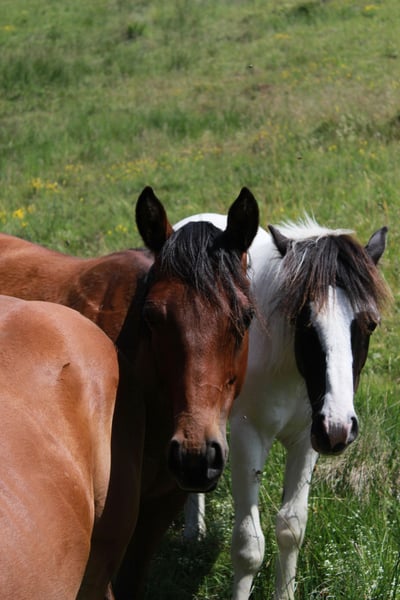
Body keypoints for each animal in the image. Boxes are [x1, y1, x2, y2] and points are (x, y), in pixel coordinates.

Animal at [176, 212, 391, 600]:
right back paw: (191, 531)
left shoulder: (308, 439)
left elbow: (291, 528)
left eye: (370, 323)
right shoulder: (248, 435)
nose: (340, 427)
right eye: (304, 321)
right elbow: (248, 547)